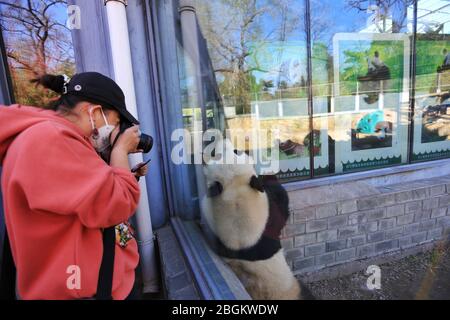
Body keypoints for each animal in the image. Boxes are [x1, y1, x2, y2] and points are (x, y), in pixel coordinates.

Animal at [200, 141, 306, 298]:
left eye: (235, 150)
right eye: (216, 154)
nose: (223, 141)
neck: (236, 199)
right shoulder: (267, 216)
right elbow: (281, 202)